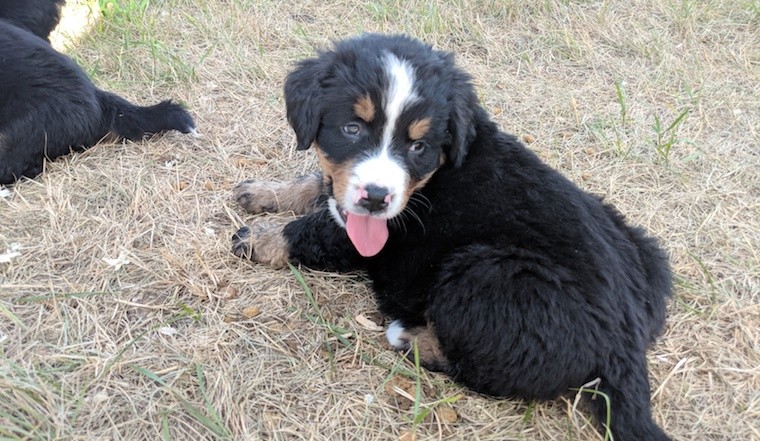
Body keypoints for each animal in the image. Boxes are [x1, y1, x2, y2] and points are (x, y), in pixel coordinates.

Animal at [232, 34, 673, 441]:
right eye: (351, 128)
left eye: (418, 146)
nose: (375, 198)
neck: (434, 177)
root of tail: (627, 341)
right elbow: (316, 185)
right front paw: (265, 192)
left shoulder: (384, 233)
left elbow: (315, 231)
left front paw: (258, 239)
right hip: (644, 248)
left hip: (481, 272)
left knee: (490, 372)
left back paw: (409, 338)